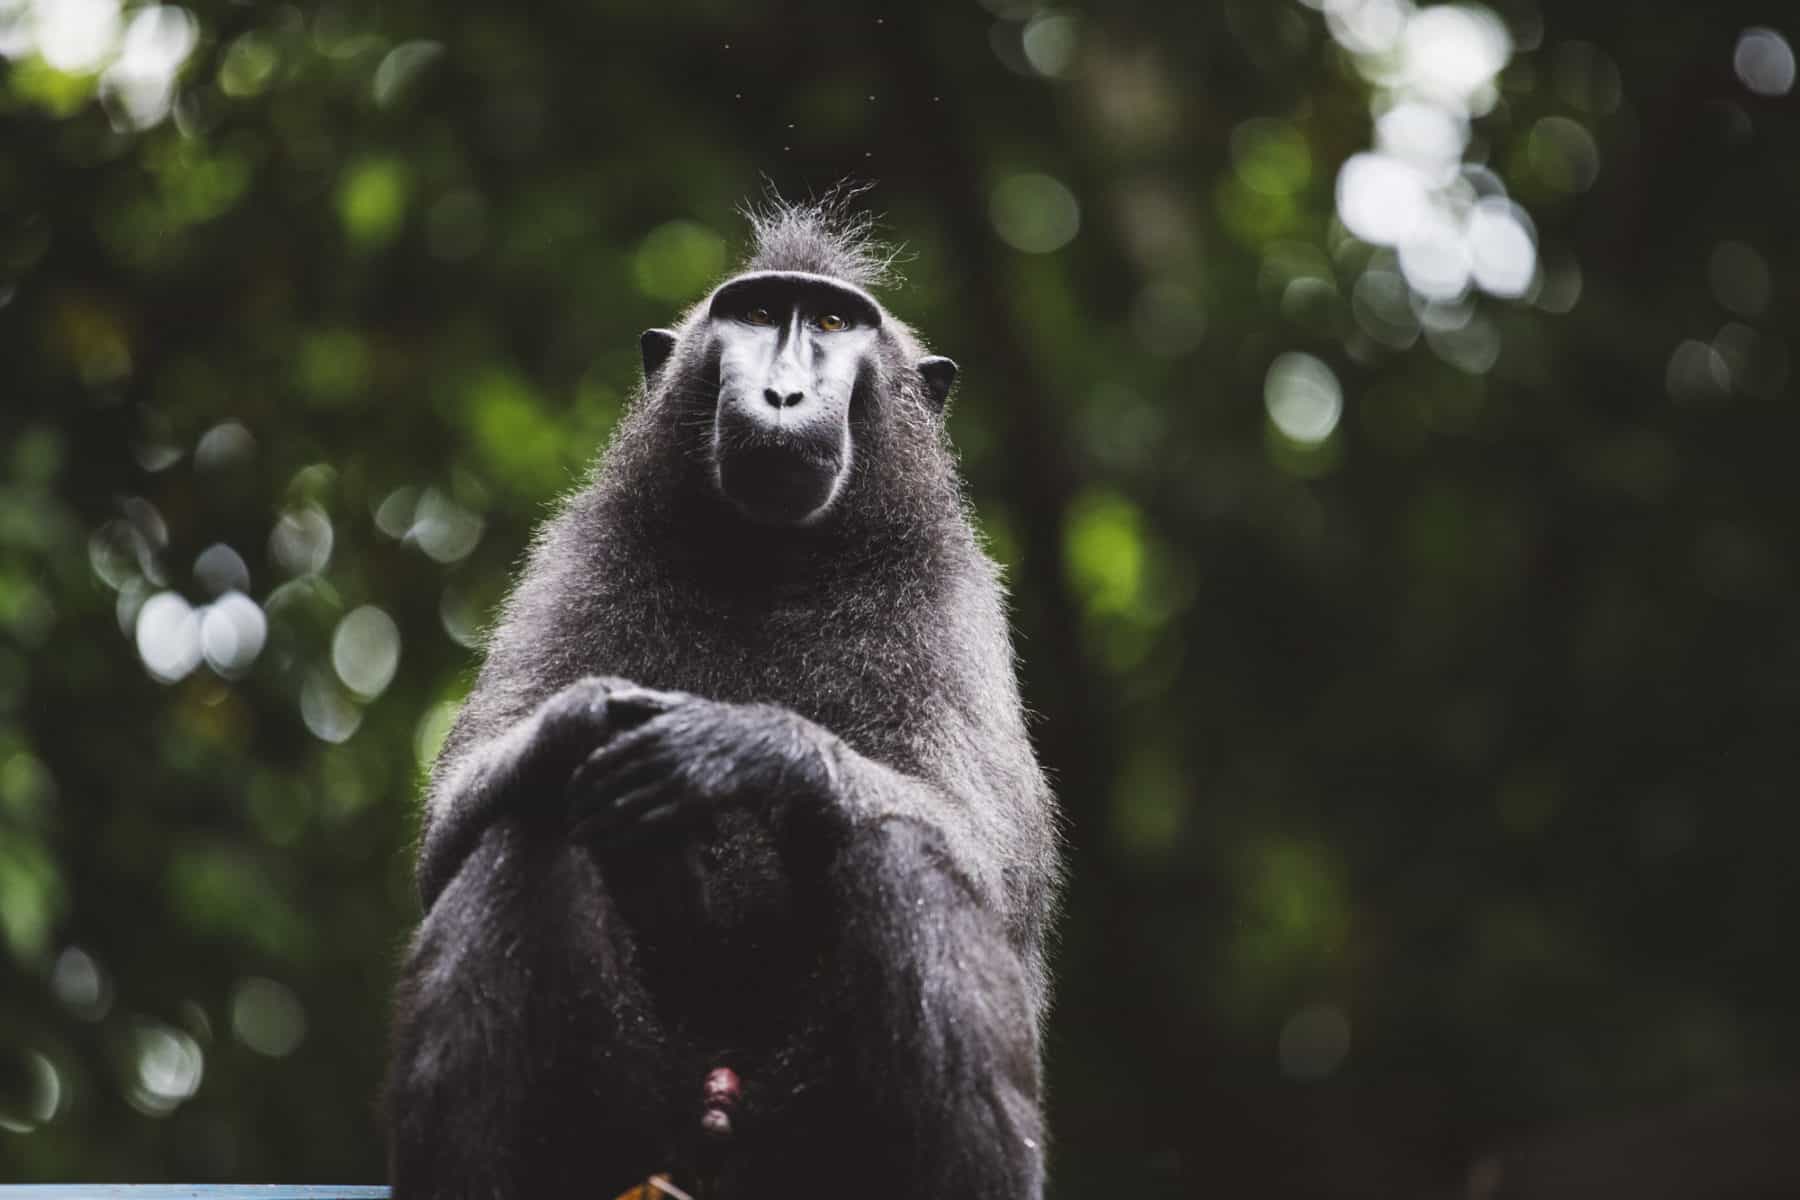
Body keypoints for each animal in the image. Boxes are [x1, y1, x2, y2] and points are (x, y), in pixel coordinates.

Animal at [383, 197, 1060, 1200]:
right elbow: (452, 832)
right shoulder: (579, 553)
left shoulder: (953, 596)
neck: (770, 561)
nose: (782, 395)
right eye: (755, 315)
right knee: (523, 826)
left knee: (904, 856)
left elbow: (989, 858)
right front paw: (583, 721)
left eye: (832, 323)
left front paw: (738, 744)